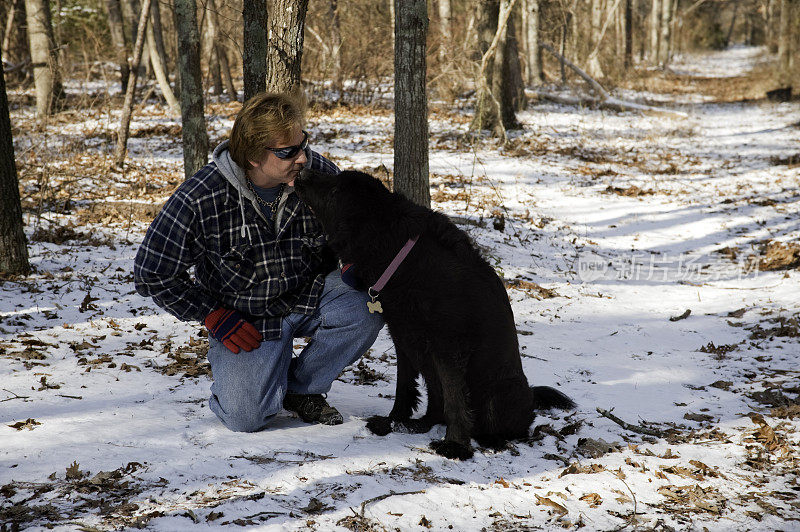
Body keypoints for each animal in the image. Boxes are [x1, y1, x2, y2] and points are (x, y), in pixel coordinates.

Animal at [294, 169, 576, 458]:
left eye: (335, 191)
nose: (302, 170)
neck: (404, 258)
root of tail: (529, 395)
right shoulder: (403, 336)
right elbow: (405, 387)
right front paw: (392, 422)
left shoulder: (448, 347)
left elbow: (455, 399)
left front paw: (456, 445)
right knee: (436, 405)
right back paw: (419, 424)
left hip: (499, 391)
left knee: (509, 427)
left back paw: (489, 439)